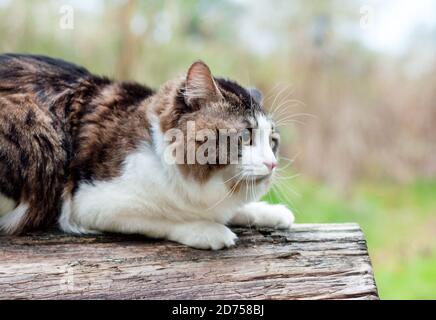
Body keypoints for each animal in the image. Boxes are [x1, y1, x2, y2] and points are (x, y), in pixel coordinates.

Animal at [0, 54, 294, 250]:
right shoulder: (89, 203)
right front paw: (208, 230)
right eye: (245, 136)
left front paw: (268, 212)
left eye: (272, 141)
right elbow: (163, 216)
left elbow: (233, 208)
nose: (272, 164)